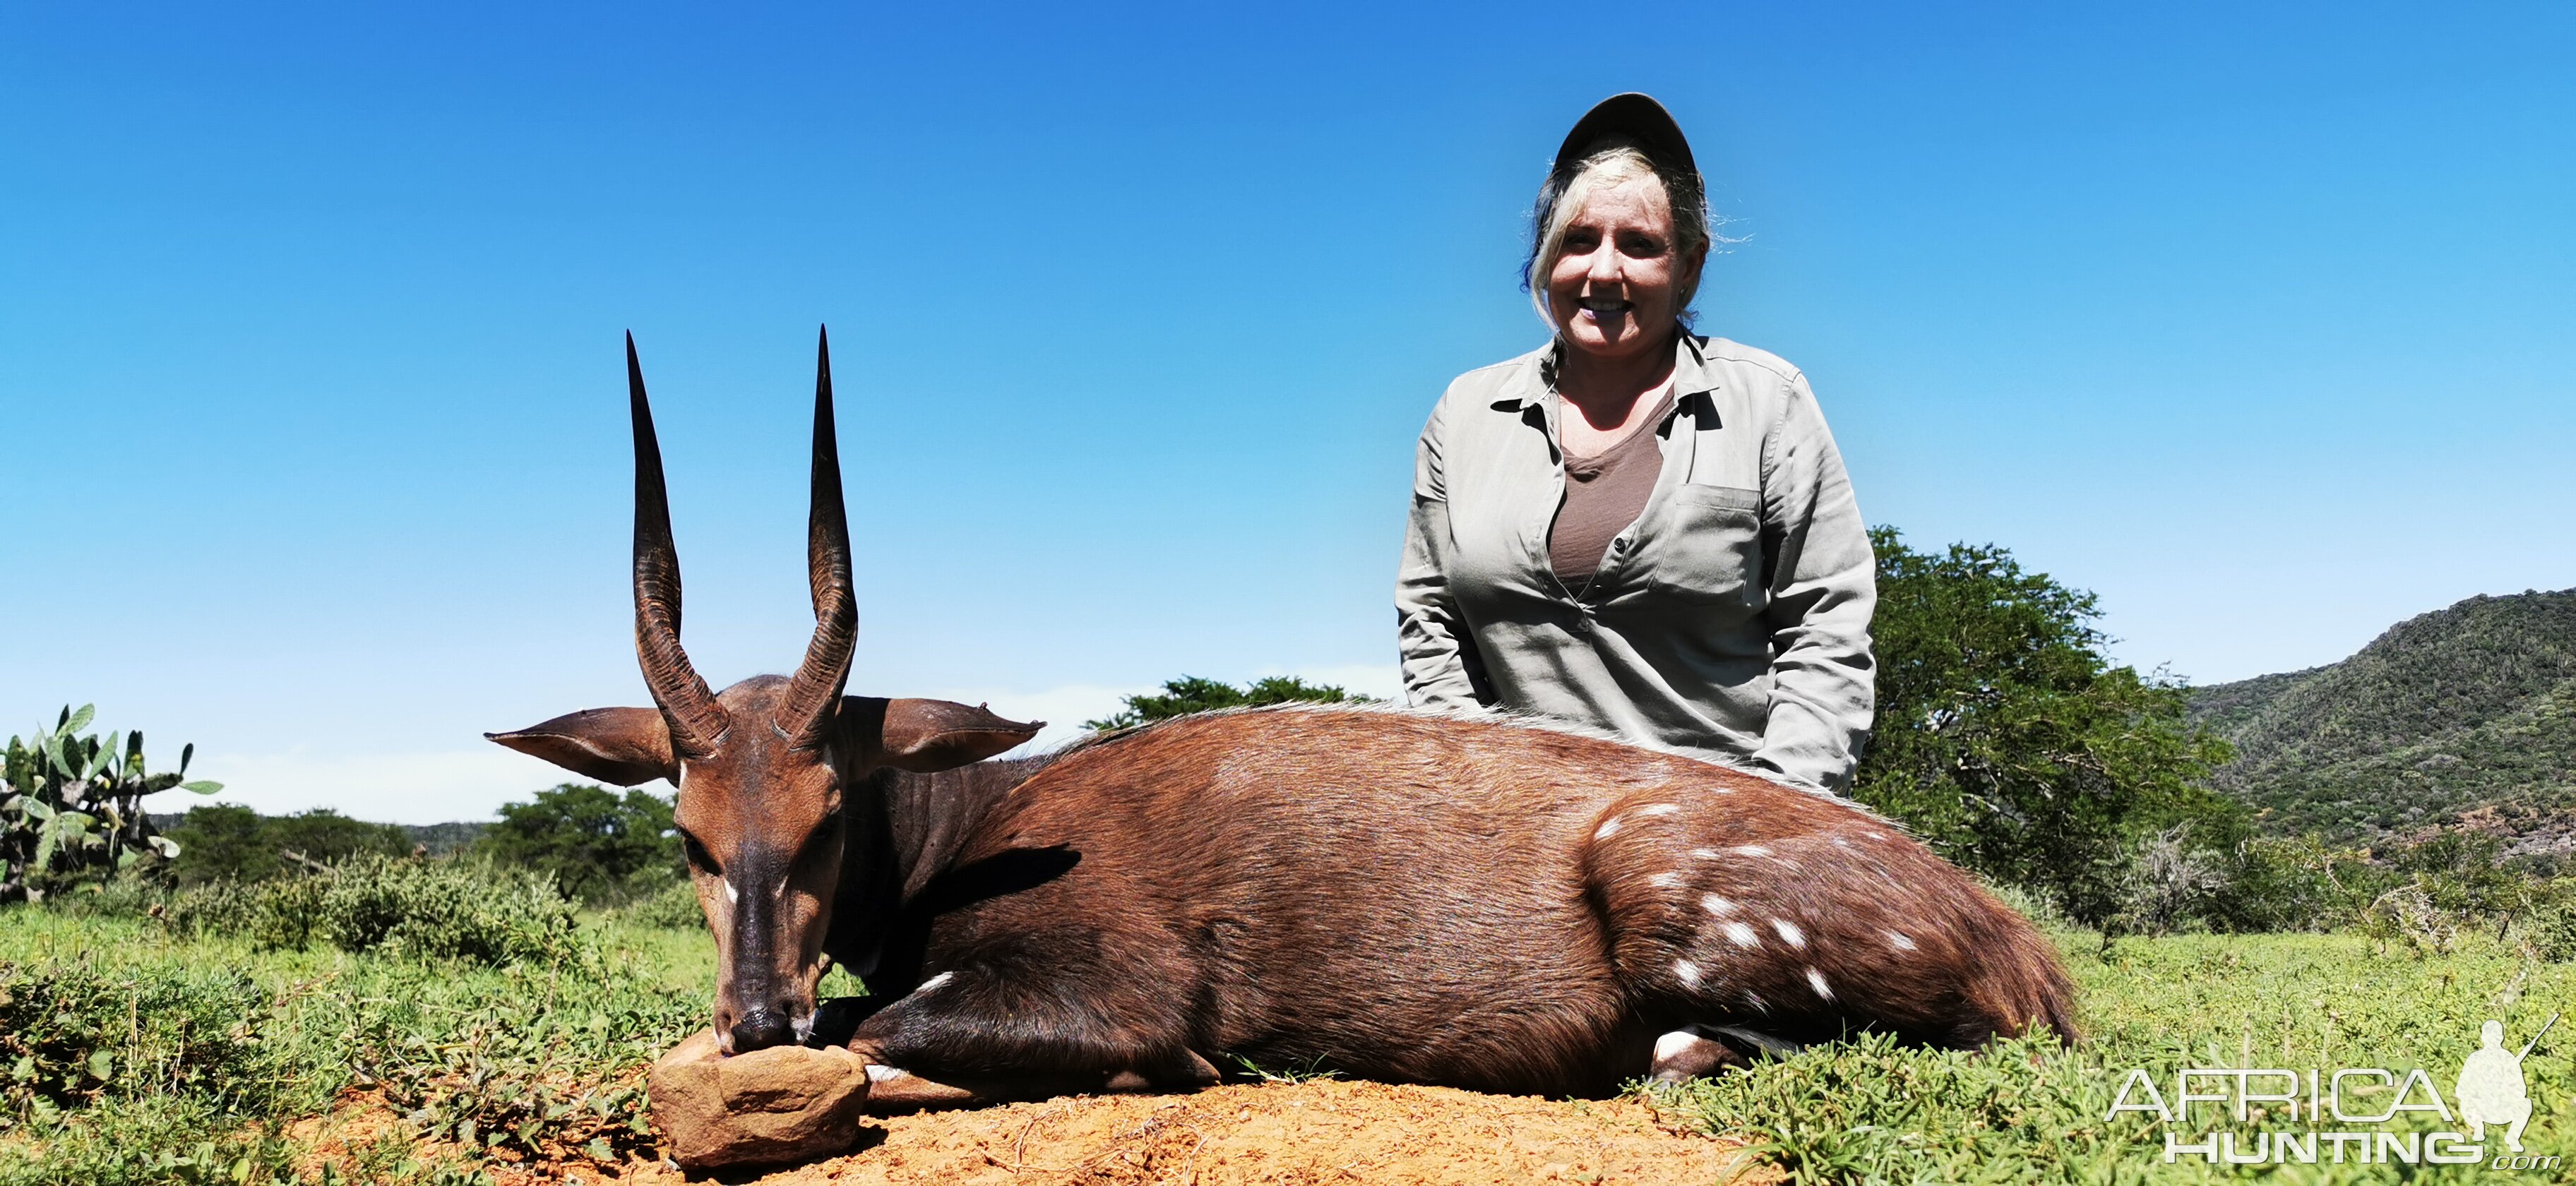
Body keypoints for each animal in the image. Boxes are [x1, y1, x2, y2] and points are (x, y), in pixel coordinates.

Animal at [491, 328, 2081, 1106]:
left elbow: (885, 1027)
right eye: (691, 838)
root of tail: (2020, 948)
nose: (754, 1015)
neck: (982, 823)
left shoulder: (1115, 984)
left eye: (827, 818)